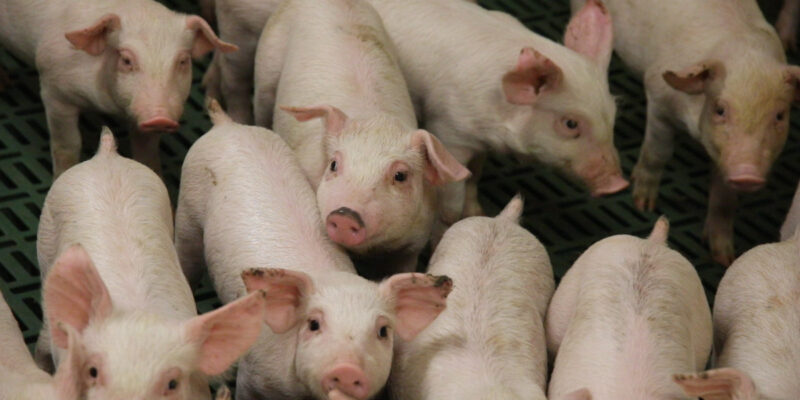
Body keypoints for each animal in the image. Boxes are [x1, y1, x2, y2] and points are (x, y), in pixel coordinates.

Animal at [0, 0, 236, 176]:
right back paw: (6, 83)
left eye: (183, 61)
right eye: (126, 60)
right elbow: (67, 146)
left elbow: (146, 152)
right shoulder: (54, 90)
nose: (160, 117)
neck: (108, 106)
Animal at [174, 101, 453, 400]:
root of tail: (227, 125)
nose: (347, 370)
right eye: (314, 324)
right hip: (188, 212)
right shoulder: (253, 374)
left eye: (383, 331)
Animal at [205, 0, 627, 226]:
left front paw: (478, 209)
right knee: (236, 78)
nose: (617, 184)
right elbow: (456, 183)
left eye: (613, 114)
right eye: (570, 123)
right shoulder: (450, 125)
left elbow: (477, 174)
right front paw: (459, 217)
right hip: (241, 30)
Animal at [572, 0, 800, 265]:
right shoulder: (658, 98)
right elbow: (657, 154)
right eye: (720, 109)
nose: (748, 174)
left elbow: (725, 200)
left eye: (779, 116)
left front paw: (724, 257)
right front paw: (643, 205)